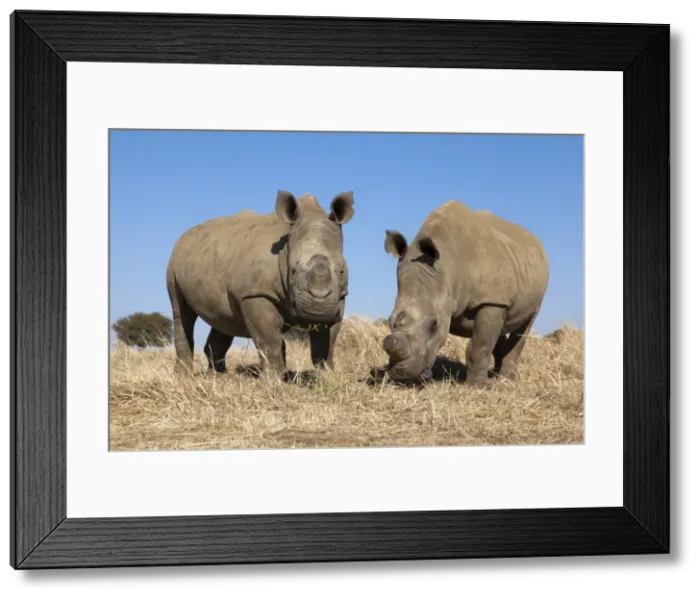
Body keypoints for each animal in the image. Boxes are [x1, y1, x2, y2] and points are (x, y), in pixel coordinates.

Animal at [165, 190, 355, 377]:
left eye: (341, 272)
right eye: (293, 270)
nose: (318, 307)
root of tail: (184, 236)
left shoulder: (340, 297)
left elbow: (326, 344)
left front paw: (328, 377)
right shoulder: (255, 293)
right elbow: (270, 341)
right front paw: (273, 380)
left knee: (223, 318)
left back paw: (217, 376)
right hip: (174, 262)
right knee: (181, 312)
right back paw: (182, 377)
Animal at [382, 200, 549, 387]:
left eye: (433, 326)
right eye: (389, 320)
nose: (402, 374)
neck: (448, 268)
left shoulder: (491, 300)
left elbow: (480, 345)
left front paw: (478, 386)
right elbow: (487, 338)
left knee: (525, 325)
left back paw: (507, 379)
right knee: (501, 326)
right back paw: (496, 375)